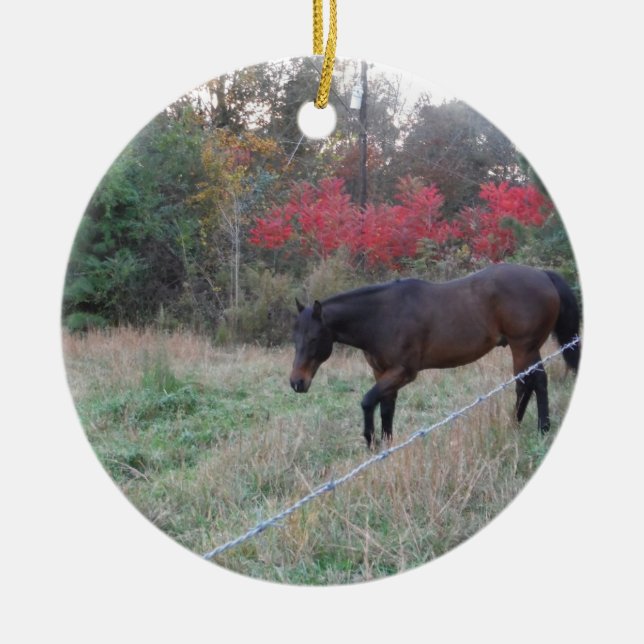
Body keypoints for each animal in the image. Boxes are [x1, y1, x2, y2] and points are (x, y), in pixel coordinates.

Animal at [290, 263, 581, 449]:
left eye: (313, 339)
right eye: (295, 339)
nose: (297, 382)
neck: (382, 316)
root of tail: (542, 275)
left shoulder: (403, 372)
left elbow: (367, 401)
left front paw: (371, 442)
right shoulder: (383, 373)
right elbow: (386, 408)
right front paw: (385, 447)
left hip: (524, 347)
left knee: (534, 382)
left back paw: (540, 428)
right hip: (524, 349)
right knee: (526, 384)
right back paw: (516, 425)